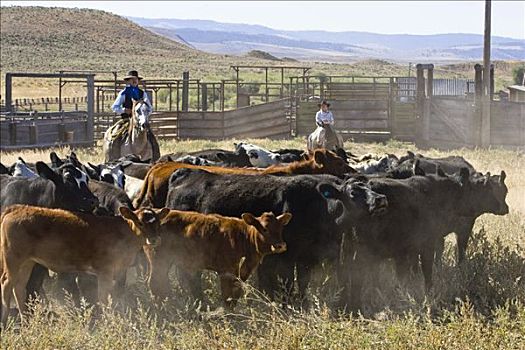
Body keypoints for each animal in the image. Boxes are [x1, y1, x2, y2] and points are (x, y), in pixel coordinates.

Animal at [0, 204, 168, 324]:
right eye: (140, 222)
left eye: (158, 223)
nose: (154, 239)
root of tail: (17, 208)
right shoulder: (105, 271)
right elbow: (104, 297)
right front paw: (108, 321)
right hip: (13, 258)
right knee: (6, 284)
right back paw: (5, 320)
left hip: (27, 261)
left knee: (19, 286)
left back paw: (25, 320)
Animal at [145, 209, 290, 308]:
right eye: (265, 229)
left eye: (280, 228)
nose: (280, 245)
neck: (242, 237)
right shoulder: (226, 271)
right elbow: (227, 296)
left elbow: (236, 293)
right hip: (158, 258)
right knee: (155, 282)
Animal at [166, 170, 386, 306]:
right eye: (353, 191)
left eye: (371, 187)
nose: (381, 199)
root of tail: (185, 173)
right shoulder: (285, 257)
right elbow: (287, 284)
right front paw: (287, 306)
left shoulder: (307, 257)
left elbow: (302, 283)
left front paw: (302, 304)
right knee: (188, 275)